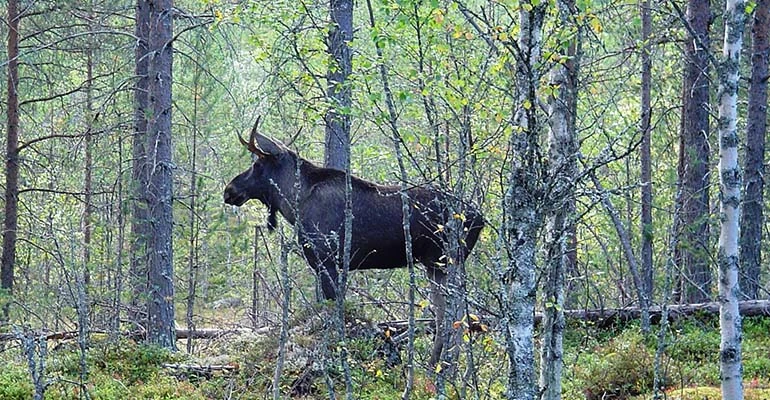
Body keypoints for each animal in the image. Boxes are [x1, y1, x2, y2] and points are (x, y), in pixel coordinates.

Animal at [222, 118, 484, 362]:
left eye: (256, 165)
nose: (229, 190)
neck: (295, 204)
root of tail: (480, 217)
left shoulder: (326, 261)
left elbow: (335, 311)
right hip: (436, 265)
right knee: (449, 318)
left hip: (442, 260)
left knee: (455, 317)